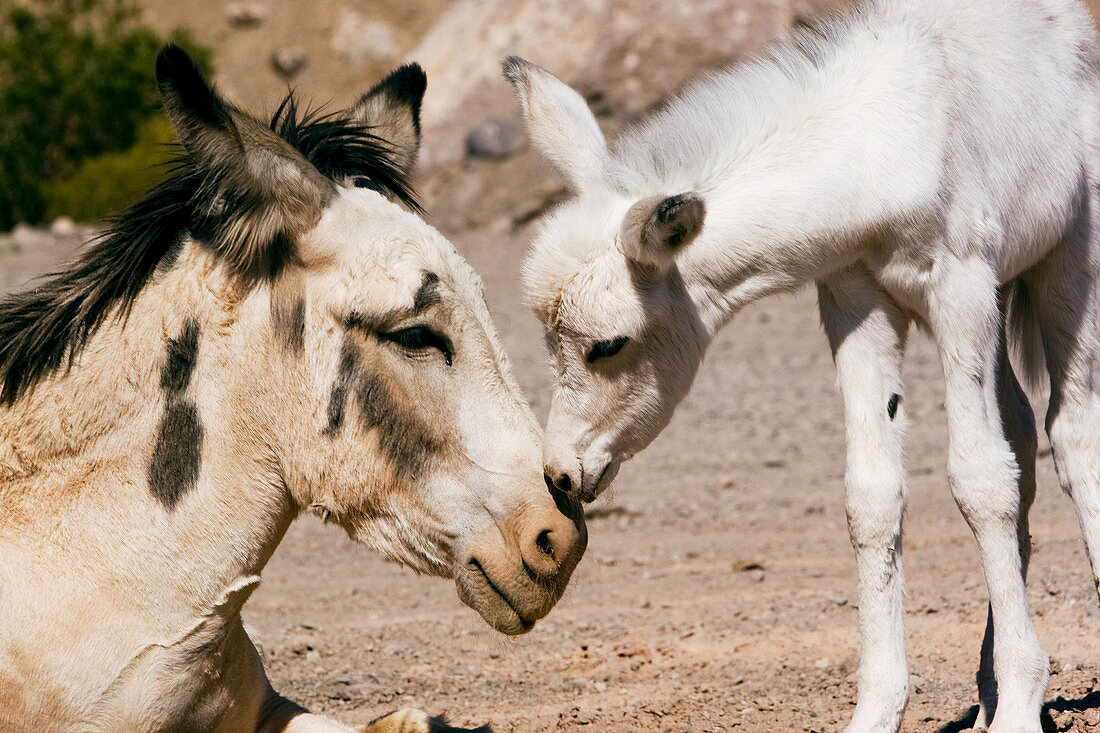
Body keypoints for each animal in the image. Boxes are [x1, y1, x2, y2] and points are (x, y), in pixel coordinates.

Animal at [503, 0, 1100, 726]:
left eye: (607, 345)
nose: (559, 475)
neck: (877, 150)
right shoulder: (856, 303)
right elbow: (873, 496)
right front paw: (878, 711)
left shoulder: (960, 292)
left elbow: (981, 480)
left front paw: (1018, 706)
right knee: (1020, 434)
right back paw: (984, 693)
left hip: (1066, 260)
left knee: (1071, 429)